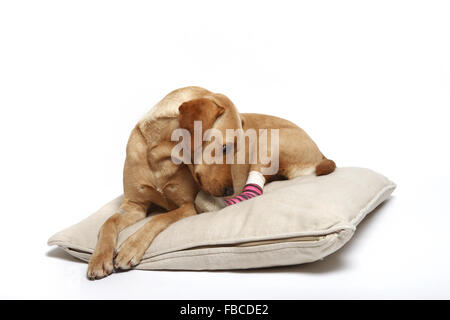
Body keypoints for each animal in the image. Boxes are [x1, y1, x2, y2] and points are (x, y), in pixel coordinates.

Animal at [87, 86, 334, 278]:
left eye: (235, 148)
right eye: (225, 147)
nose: (228, 190)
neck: (159, 154)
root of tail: (320, 152)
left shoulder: (187, 206)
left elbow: (158, 219)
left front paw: (131, 247)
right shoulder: (133, 206)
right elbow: (107, 222)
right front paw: (99, 259)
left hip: (268, 139)